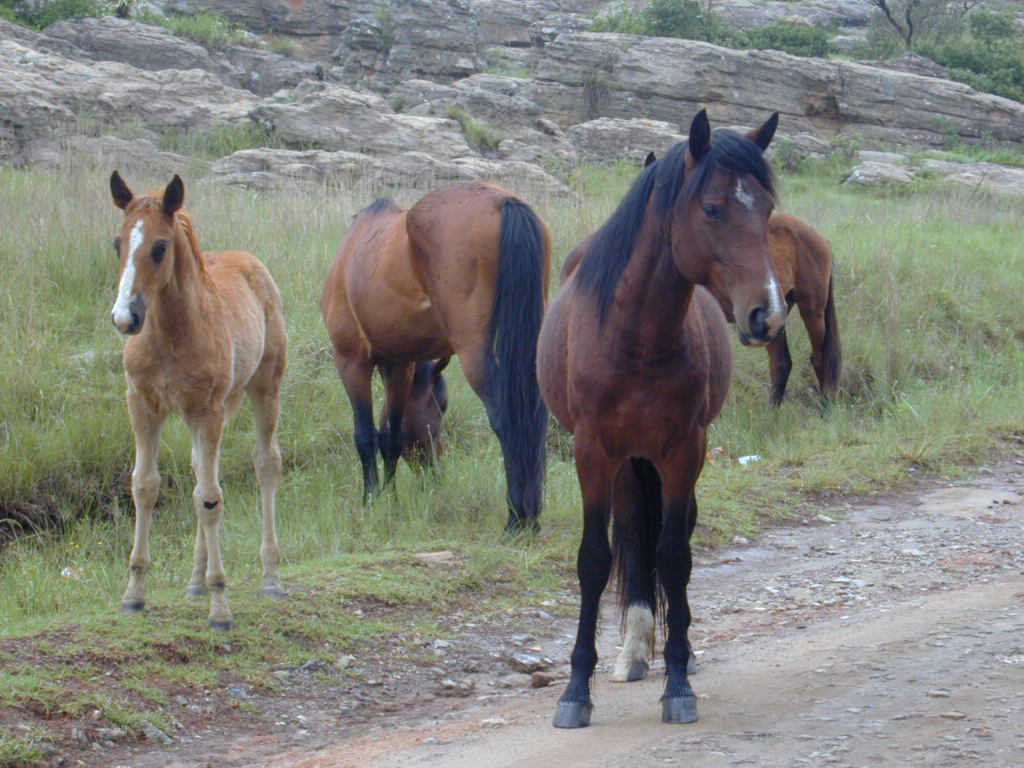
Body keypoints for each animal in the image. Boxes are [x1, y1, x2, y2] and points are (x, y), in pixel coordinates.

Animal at [108, 173, 288, 630]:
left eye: (159, 246)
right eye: (118, 242)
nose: (124, 319)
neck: (172, 333)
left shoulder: (207, 410)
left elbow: (209, 499)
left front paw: (220, 605)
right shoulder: (143, 405)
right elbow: (146, 486)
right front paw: (133, 594)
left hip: (264, 388)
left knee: (265, 464)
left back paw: (270, 578)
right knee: (201, 471)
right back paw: (194, 580)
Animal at [323, 181, 552, 532]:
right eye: (441, 405)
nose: (436, 470)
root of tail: (502, 201)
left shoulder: (351, 359)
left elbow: (364, 435)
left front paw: (371, 501)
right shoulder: (399, 364)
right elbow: (390, 436)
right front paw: (391, 500)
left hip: (474, 350)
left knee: (506, 417)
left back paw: (517, 518)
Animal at [540, 108, 786, 729]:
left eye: (768, 211)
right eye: (713, 209)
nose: (767, 315)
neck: (636, 336)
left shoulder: (684, 449)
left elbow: (674, 555)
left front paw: (678, 679)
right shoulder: (593, 451)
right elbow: (594, 559)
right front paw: (575, 690)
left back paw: (677, 646)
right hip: (628, 461)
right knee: (631, 534)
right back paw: (632, 650)